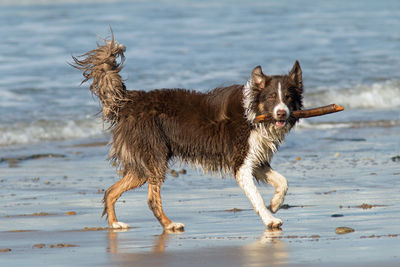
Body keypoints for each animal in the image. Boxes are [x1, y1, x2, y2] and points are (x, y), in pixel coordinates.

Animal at [72, 36, 304, 233]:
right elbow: (256, 196)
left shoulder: (256, 159)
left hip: (143, 165)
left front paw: (275, 203)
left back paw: (115, 224)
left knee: (111, 191)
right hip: (154, 157)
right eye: (272, 97)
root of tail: (129, 101)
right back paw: (170, 224)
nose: (282, 113)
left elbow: (283, 181)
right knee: (151, 199)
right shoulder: (241, 163)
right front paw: (270, 219)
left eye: (288, 97)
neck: (253, 113)